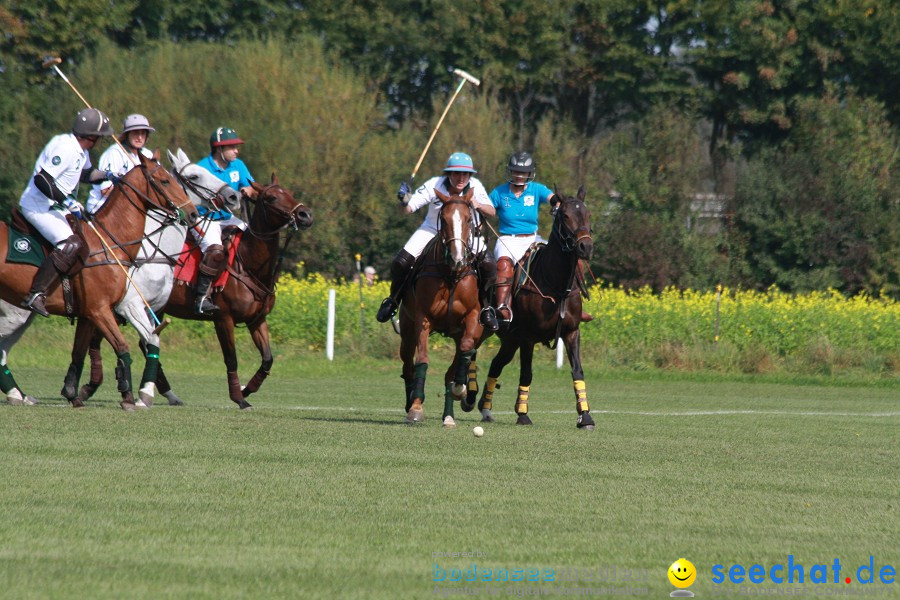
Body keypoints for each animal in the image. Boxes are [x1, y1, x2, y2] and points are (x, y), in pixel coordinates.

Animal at [0, 148, 239, 406]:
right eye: (193, 176)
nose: (233, 196)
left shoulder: (100, 311)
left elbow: (94, 349)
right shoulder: (124, 306)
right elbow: (142, 342)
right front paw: (139, 394)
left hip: (21, 315)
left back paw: (18, 395)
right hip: (15, 313)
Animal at [400, 188, 488, 426]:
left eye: (468, 219)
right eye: (445, 219)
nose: (457, 259)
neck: (451, 275)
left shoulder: (473, 318)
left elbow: (466, 350)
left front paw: (460, 389)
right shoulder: (423, 318)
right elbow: (422, 360)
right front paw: (416, 408)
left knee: (455, 365)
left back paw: (449, 414)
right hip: (406, 328)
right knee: (407, 366)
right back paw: (409, 402)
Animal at [464, 186, 596, 426]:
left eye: (587, 214)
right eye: (565, 216)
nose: (586, 246)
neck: (555, 284)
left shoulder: (572, 331)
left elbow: (577, 371)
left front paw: (585, 416)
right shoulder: (528, 336)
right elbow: (527, 373)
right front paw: (523, 413)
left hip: (510, 340)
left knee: (496, 364)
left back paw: (485, 408)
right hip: (484, 327)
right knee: (471, 351)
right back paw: (468, 394)